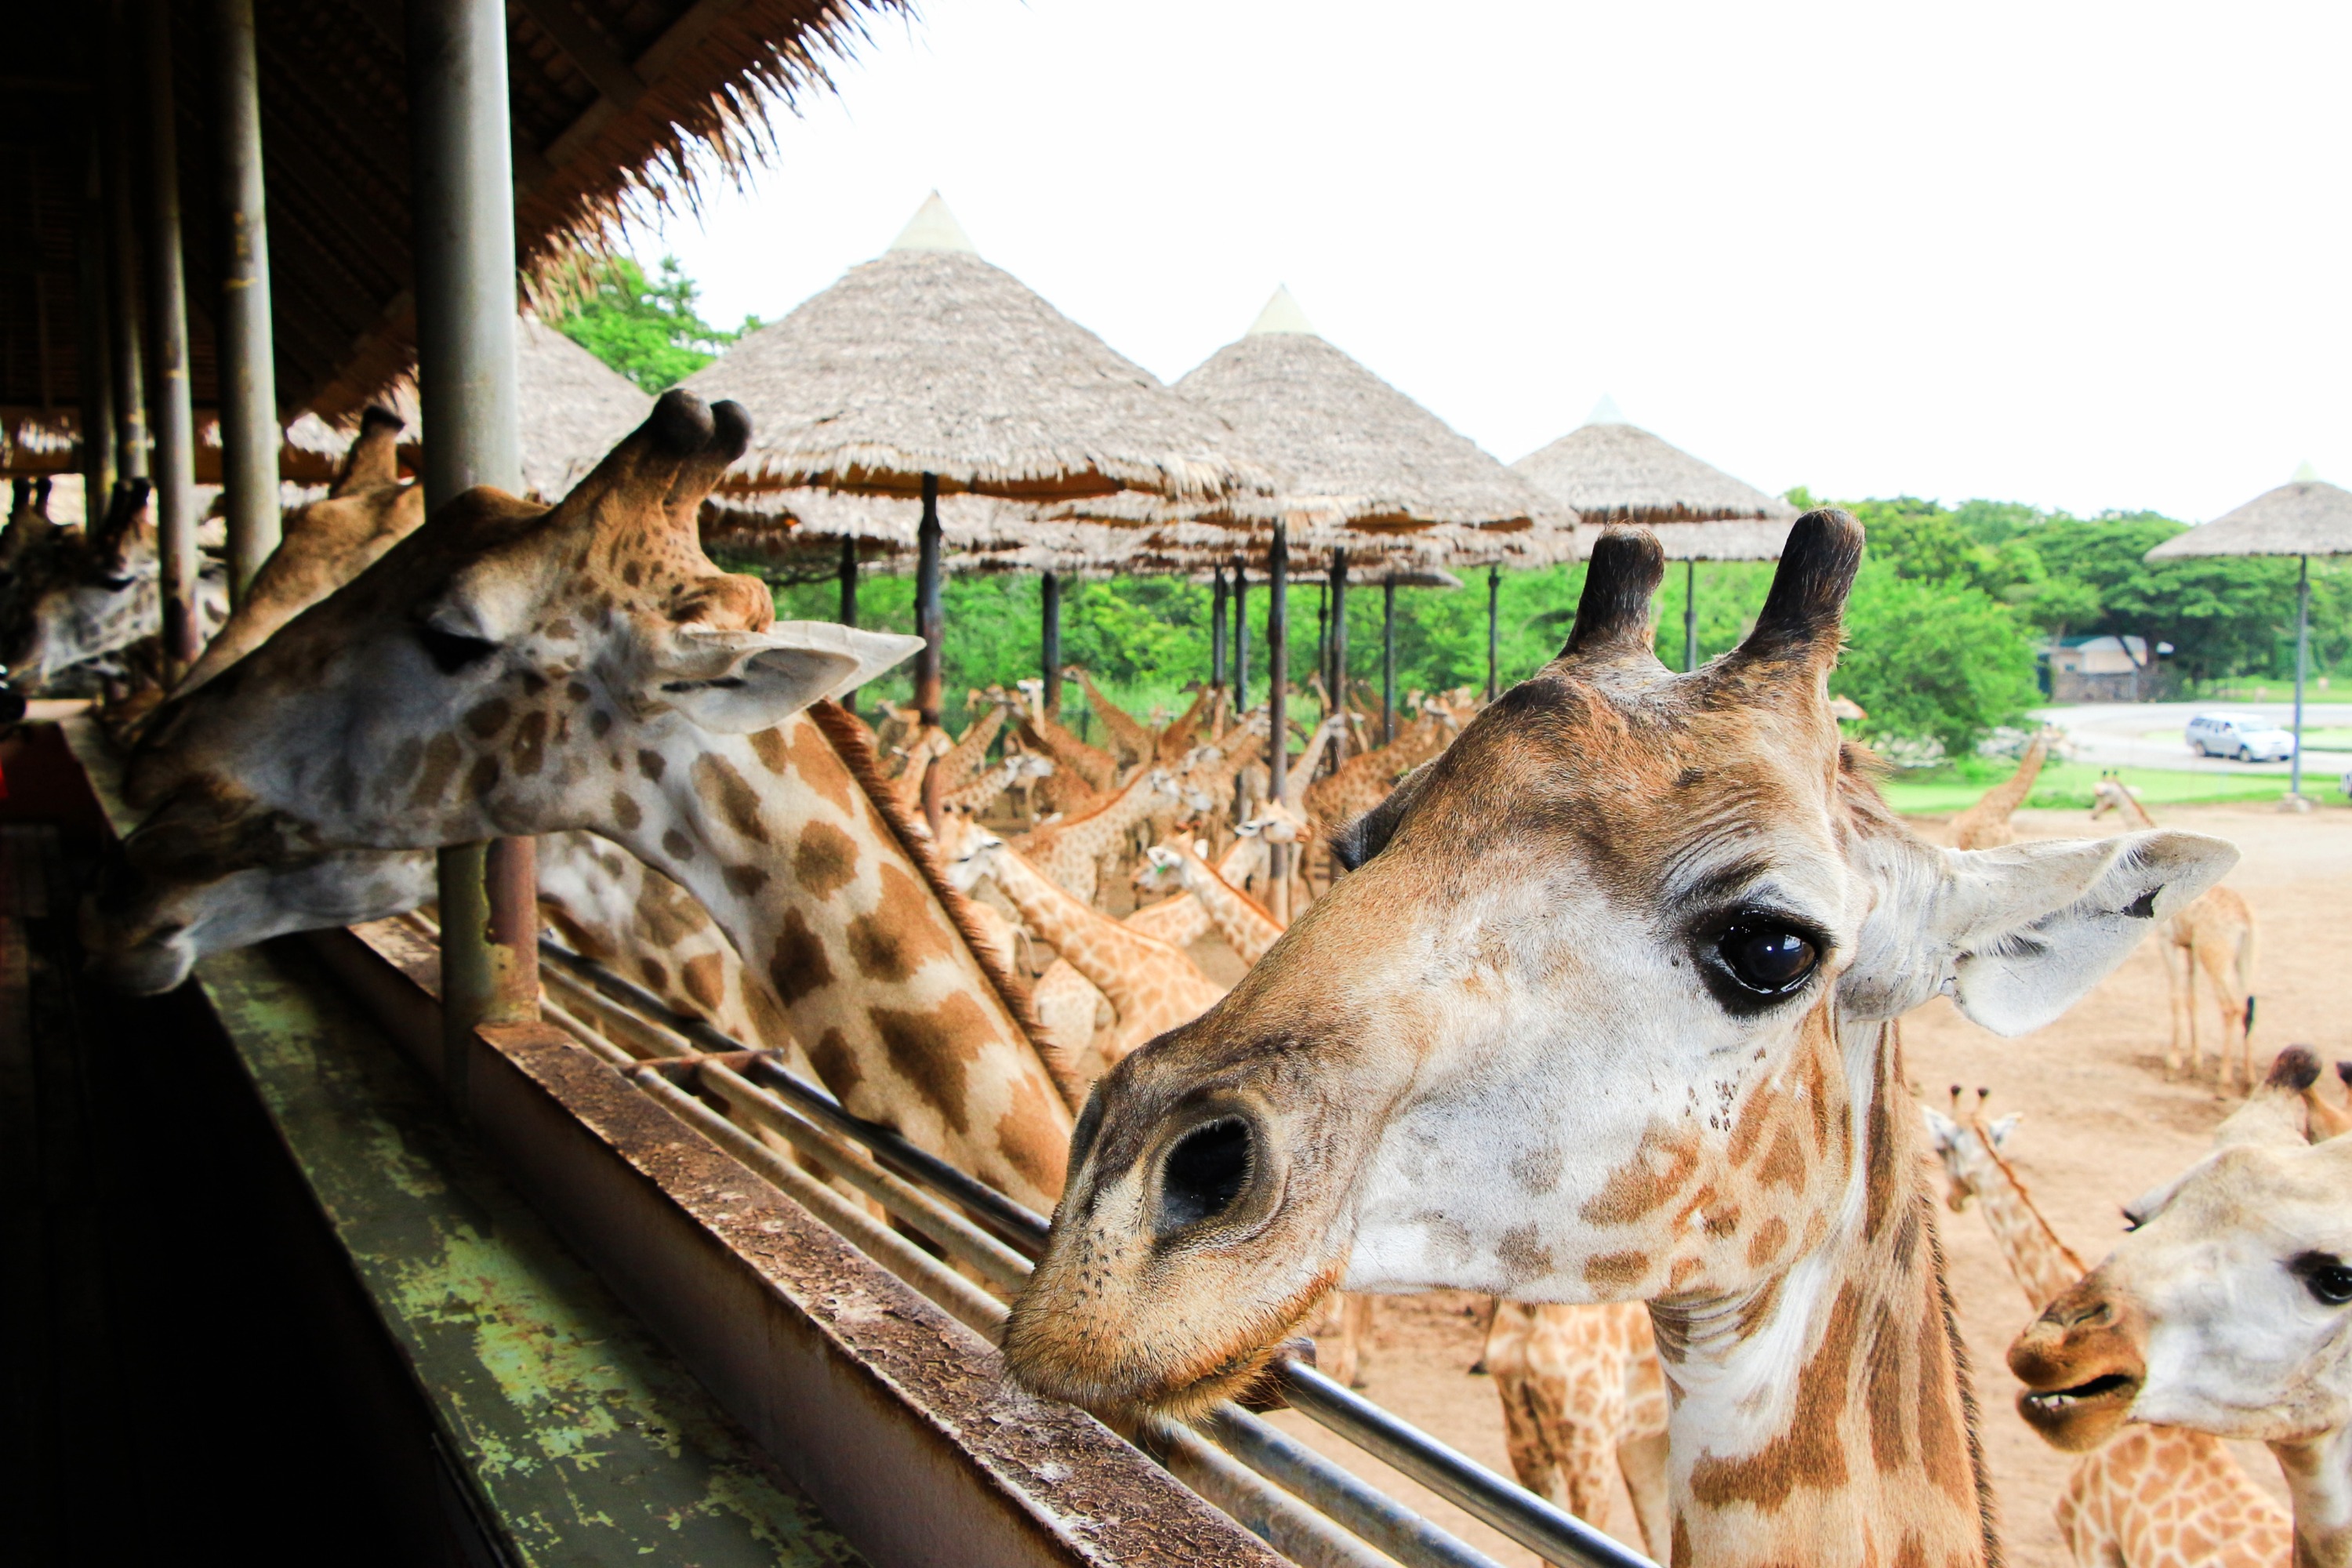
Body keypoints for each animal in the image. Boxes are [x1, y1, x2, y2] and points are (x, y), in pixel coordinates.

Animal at [2090, 775, 2261, 1089]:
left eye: (2101, 794)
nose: (2094, 814)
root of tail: (2246, 917)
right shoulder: (2188, 947)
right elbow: (2192, 998)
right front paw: (2194, 1062)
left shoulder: (2166, 941)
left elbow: (2175, 996)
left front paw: (2173, 1065)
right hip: (2244, 956)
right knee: (2245, 1004)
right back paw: (2250, 1077)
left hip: (2214, 953)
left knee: (2230, 1006)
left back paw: (2224, 1081)